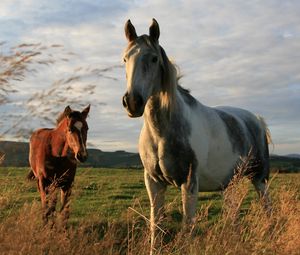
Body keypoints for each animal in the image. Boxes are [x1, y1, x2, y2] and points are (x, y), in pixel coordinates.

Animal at [122, 18, 272, 253]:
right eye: (125, 59)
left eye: (154, 58)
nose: (132, 102)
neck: (161, 133)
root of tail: (256, 119)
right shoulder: (153, 183)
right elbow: (156, 226)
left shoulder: (189, 183)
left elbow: (187, 227)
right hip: (229, 184)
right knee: (233, 215)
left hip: (260, 179)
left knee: (267, 209)